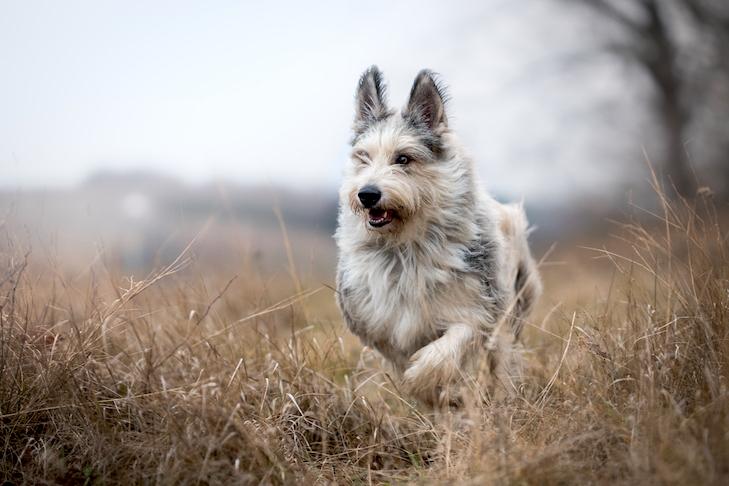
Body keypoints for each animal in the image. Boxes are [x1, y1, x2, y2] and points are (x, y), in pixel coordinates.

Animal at [332, 65, 536, 406]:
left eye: (403, 158)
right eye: (363, 157)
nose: (367, 194)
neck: (406, 248)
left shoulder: (478, 309)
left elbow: (451, 344)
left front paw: (424, 382)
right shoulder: (382, 324)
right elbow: (401, 357)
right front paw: (427, 395)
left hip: (513, 307)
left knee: (504, 359)